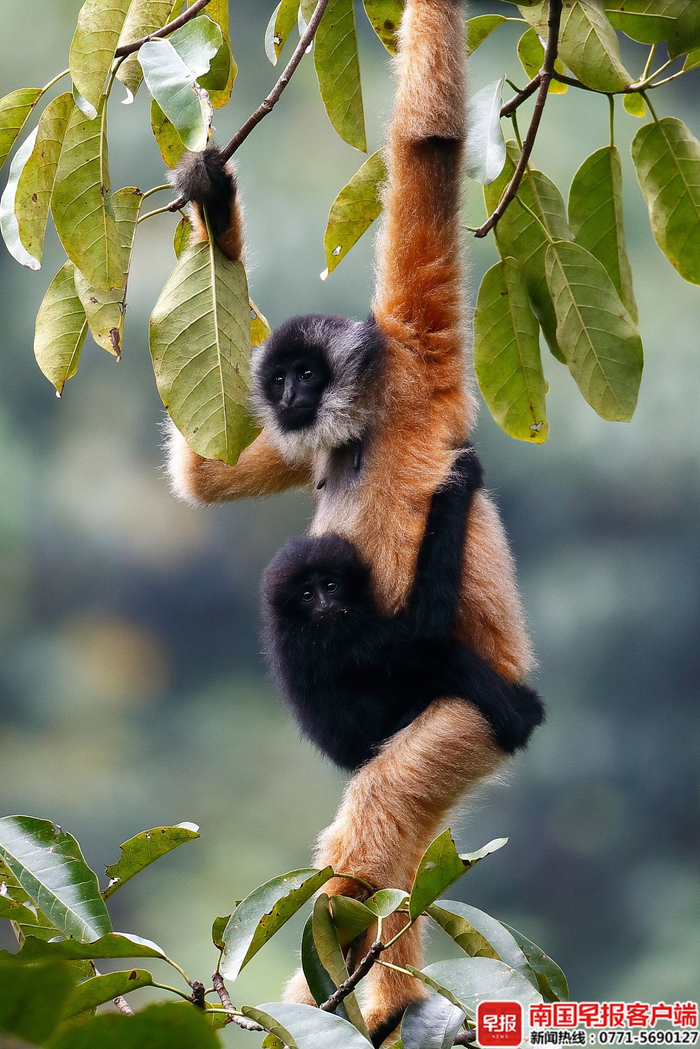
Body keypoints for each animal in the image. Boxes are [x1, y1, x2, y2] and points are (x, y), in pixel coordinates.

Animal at [262, 446, 543, 772]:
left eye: (330, 586)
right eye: (307, 595)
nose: (324, 605)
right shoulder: (342, 635)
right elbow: (425, 632)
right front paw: (455, 486)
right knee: (450, 661)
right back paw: (518, 720)